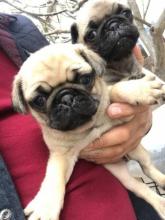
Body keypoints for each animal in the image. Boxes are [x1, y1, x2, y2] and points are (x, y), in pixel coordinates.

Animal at [11, 43, 165, 220]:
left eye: (85, 79)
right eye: (39, 100)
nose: (66, 98)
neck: (87, 126)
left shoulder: (119, 110)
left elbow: (114, 90)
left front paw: (140, 89)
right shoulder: (62, 155)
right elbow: (55, 178)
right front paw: (46, 206)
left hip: (136, 151)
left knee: (147, 167)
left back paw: (162, 181)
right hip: (118, 172)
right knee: (138, 185)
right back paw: (161, 204)